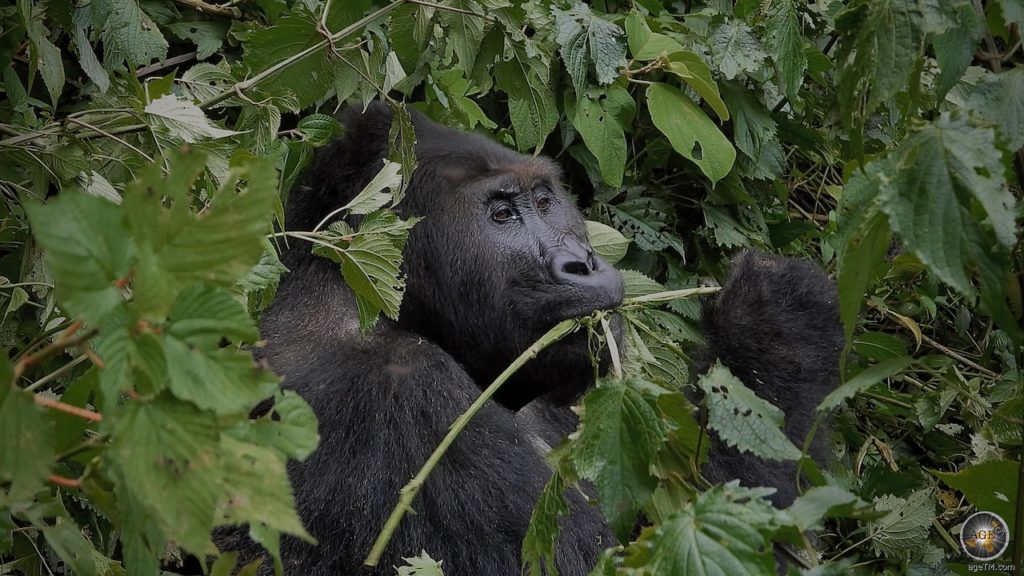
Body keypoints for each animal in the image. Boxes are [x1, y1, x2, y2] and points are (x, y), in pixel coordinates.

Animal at [228, 104, 843, 573]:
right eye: (502, 214)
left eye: (546, 202)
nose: (584, 262)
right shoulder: (395, 389)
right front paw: (772, 319)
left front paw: (776, 318)